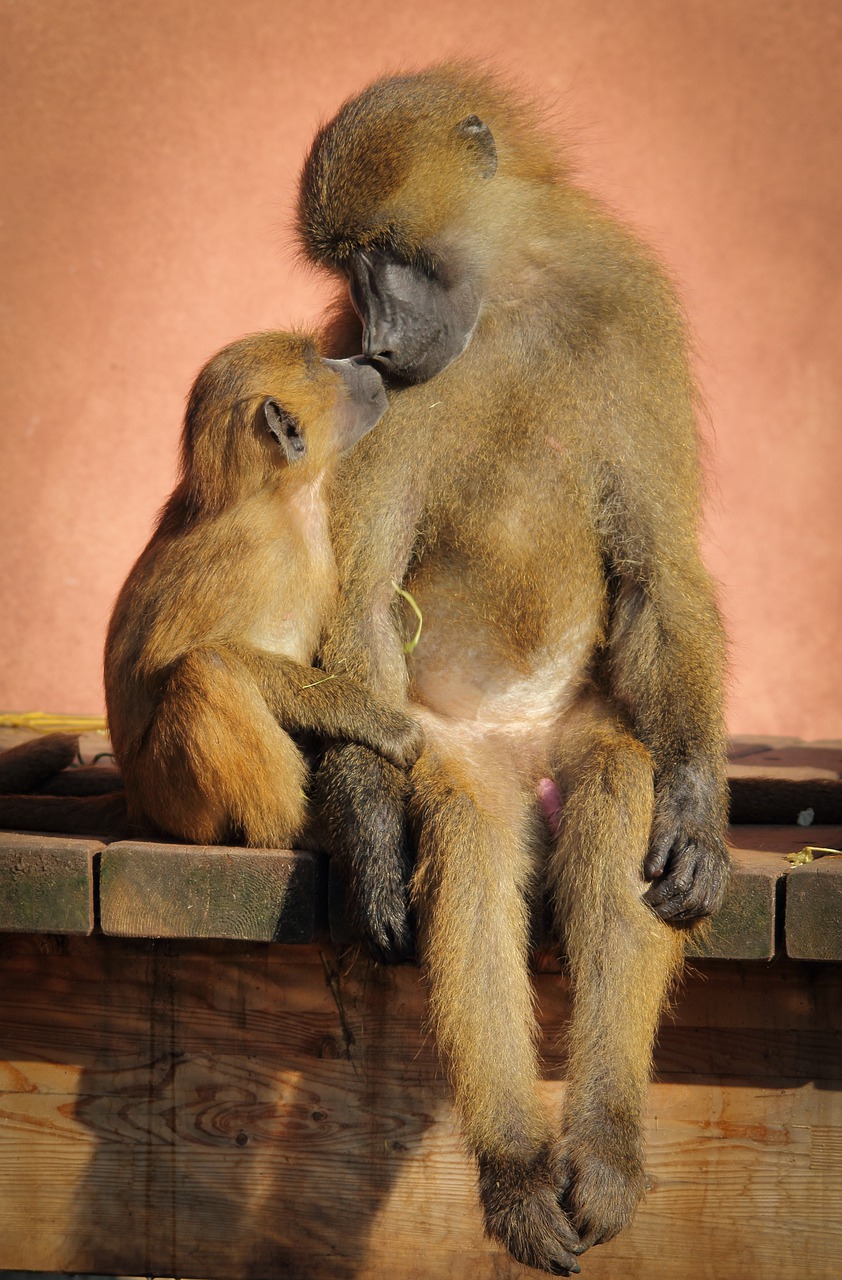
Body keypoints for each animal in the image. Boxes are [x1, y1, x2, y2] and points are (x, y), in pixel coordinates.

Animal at [0, 331, 422, 844]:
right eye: (318, 363)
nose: (364, 360)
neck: (278, 494)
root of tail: (136, 805)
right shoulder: (251, 549)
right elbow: (174, 656)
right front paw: (382, 724)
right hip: (174, 799)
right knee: (208, 669)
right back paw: (293, 830)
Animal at [296, 66, 730, 1273]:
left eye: (385, 248)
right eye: (346, 266)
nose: (378, 331)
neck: (505, 302)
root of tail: (520, 740)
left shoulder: (628, 313)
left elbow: (653, 570)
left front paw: (696, 808)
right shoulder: (365, 395)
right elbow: (357, 606)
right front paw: (372, 851)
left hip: (575, 730)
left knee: (614, 789)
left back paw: (605, 1151)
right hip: (452, 750)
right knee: (473, 837)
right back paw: (517, 1173)